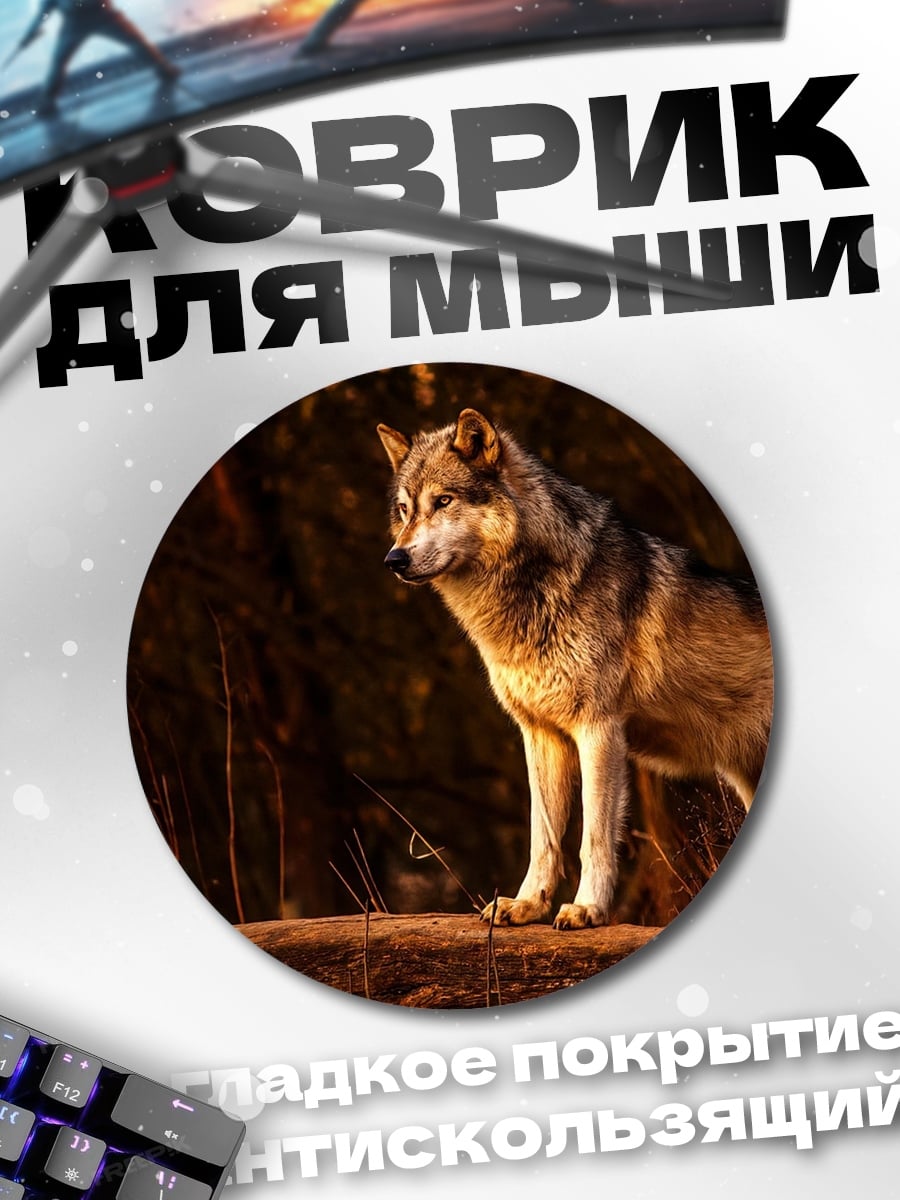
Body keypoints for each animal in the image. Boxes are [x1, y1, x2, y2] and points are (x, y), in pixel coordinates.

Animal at [377, 408, 773, 929]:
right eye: (404, 510)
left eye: (443, 501)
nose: (394, 559)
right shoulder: (540, 733)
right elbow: (542, 836)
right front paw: (526, 904)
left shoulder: (599, 729)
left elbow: (593, 839)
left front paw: (587, 908)